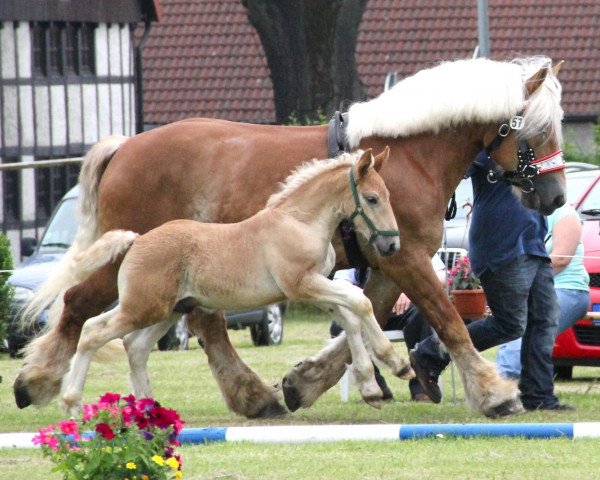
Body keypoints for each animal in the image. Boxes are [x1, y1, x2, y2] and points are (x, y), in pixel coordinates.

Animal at [61, 148, 410, 414]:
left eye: (388, 195)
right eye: (372, 199)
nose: (392, 245)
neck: (299, 222)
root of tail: (136, 240)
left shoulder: (314, 290)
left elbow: (350, 316)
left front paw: (370, 387)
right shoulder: (302, 285)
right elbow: (360, 302)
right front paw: (396, 362)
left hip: (168, 310)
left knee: (134, 347)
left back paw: (149, 410)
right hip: (142, 308)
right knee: (93, 332)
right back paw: (72, 403)